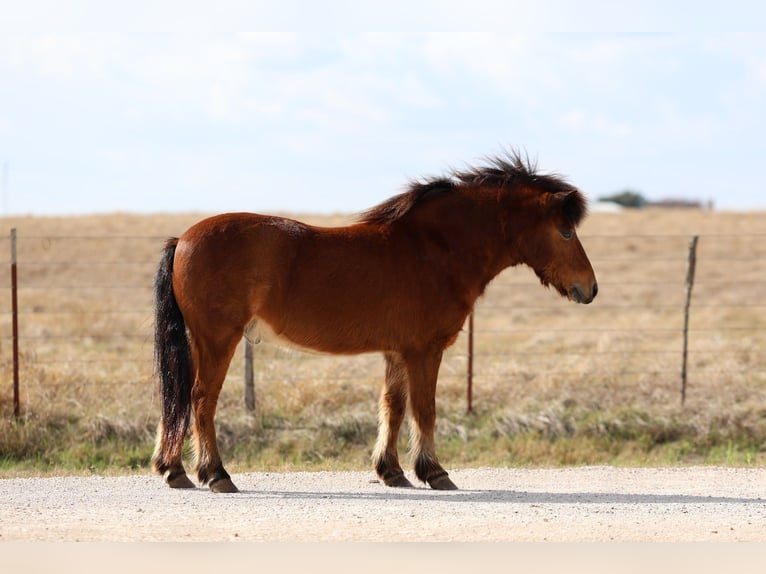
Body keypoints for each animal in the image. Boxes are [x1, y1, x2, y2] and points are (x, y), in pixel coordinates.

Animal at [151, 151, 598, 493]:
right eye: (565, 231)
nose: (589, 288)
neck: (434, 249)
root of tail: (182, 240)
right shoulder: (423, 351)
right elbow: (424, 409)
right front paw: (434, 472)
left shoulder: (397, 352)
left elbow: (393, 407)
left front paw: (393, 471)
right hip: (217, 339)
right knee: (201, 399)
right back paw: (216, 474)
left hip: (199, 341)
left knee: (177, 398)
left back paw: (174, 470)